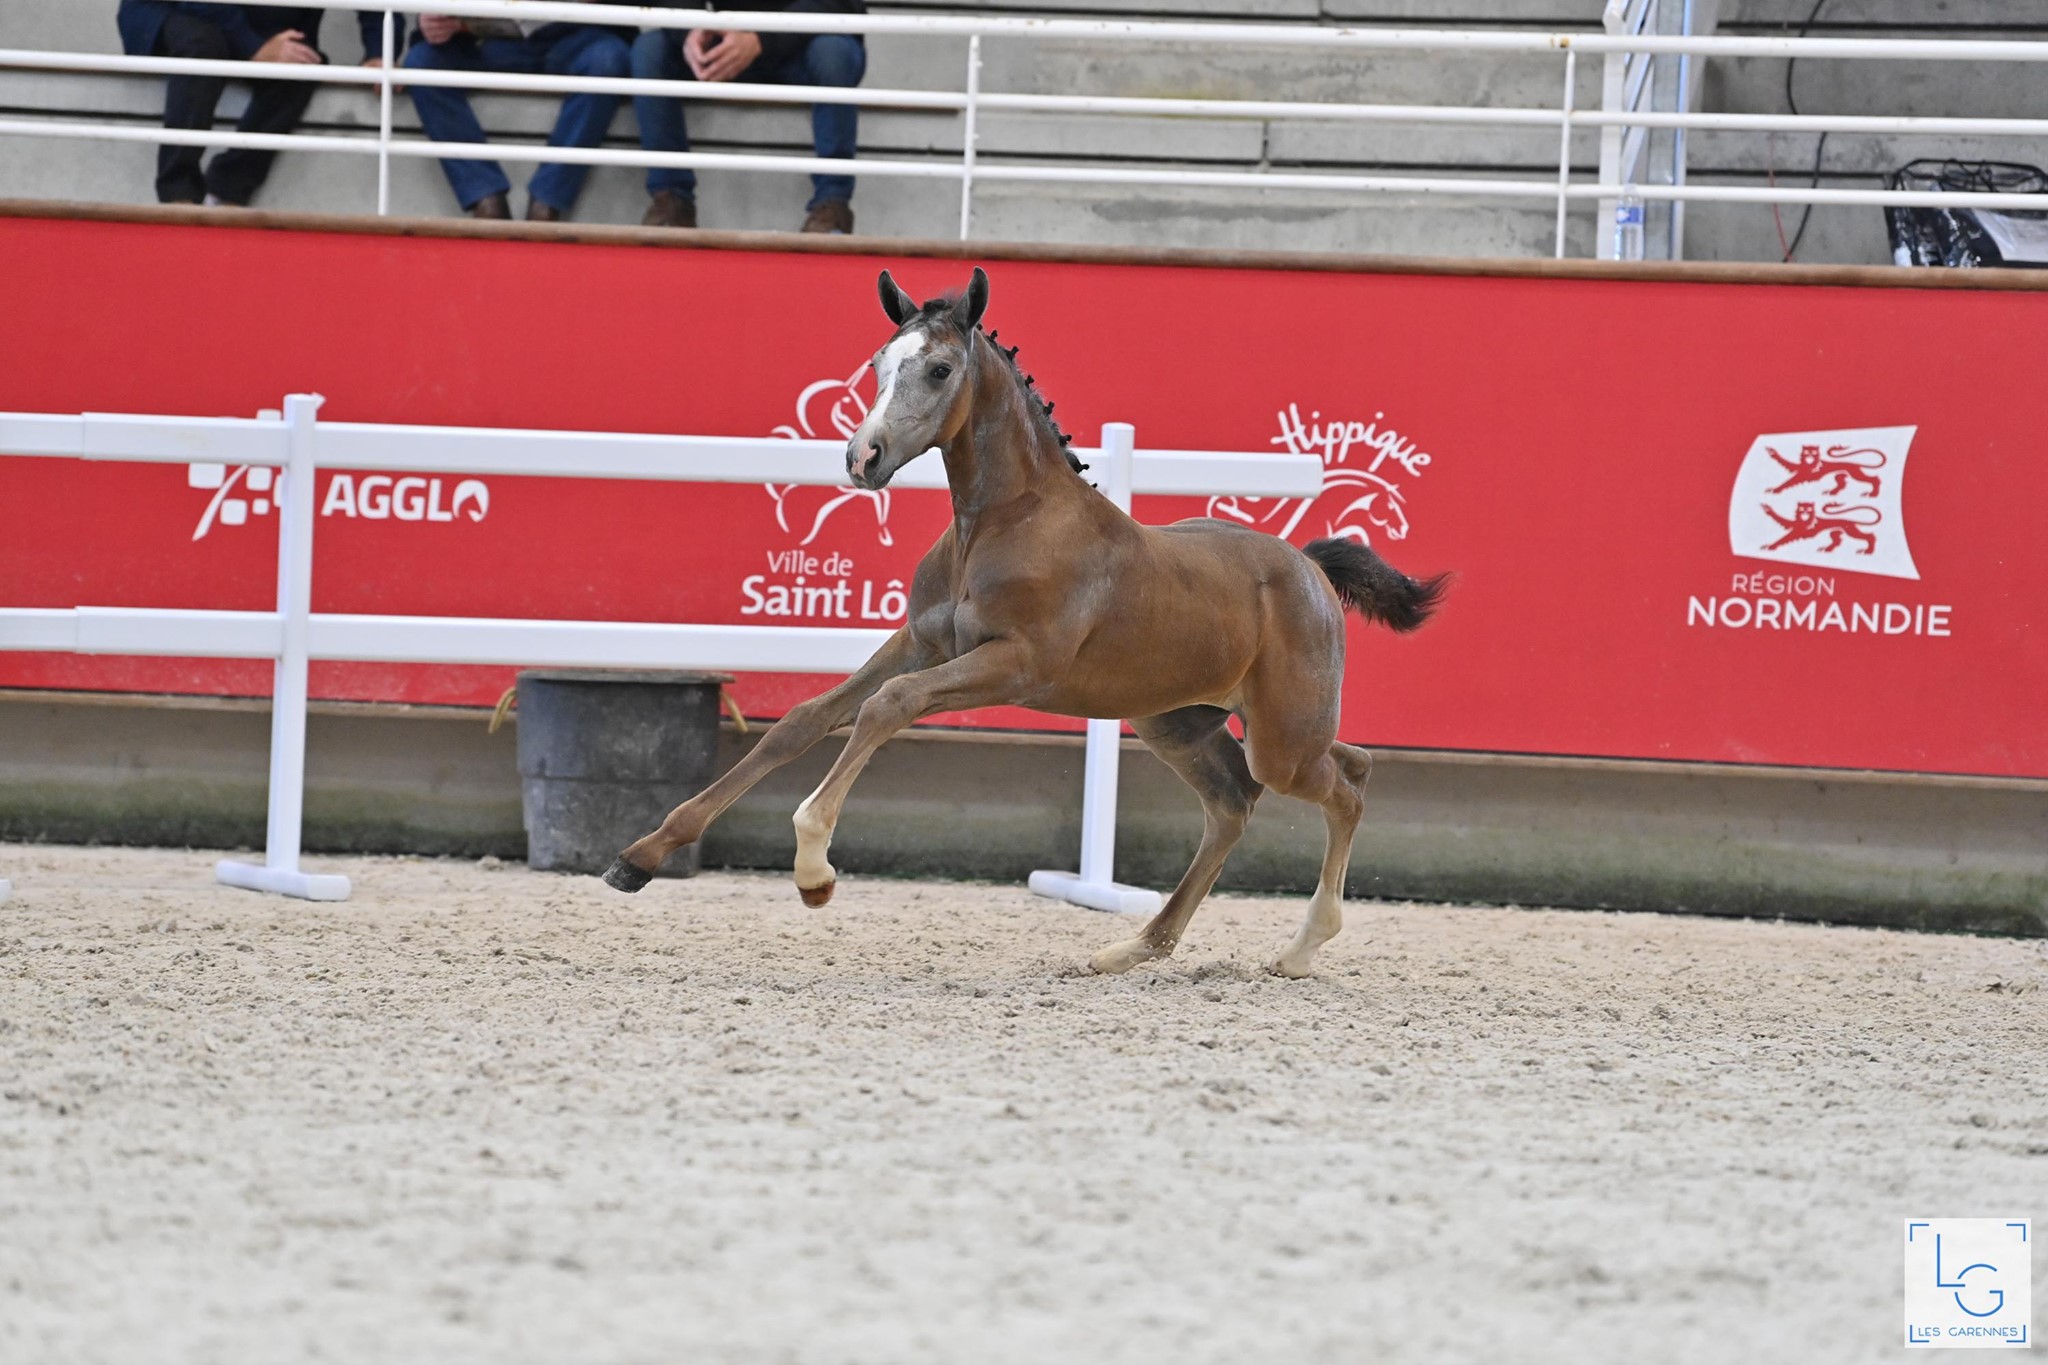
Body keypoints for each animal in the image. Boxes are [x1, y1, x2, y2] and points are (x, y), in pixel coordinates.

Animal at [604, 268, 1447, 978]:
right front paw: (639, 856)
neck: (1005, 521)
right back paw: (1134, 947)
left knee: (1346, 781)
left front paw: (814, 868)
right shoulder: (919, 641)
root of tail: (1309, 568)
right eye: (877, 364)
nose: (863, 457)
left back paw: (1301, 947)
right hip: (1180, 721)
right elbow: (803, 719)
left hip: (1280, 736)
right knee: (1242, 800)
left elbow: (887, 705)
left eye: (939, 369)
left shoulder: (1013, 663)